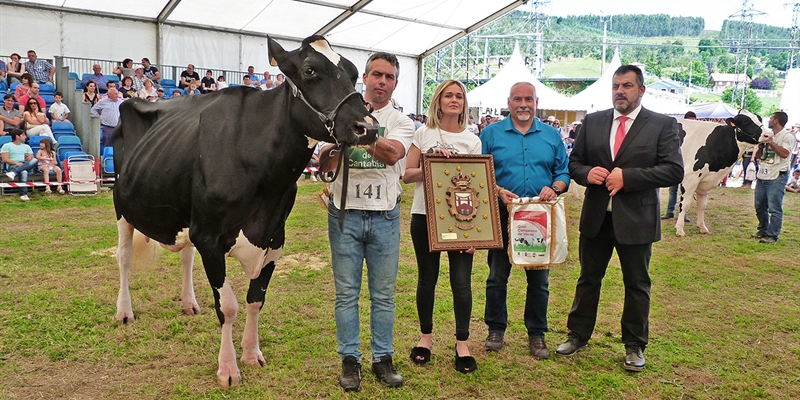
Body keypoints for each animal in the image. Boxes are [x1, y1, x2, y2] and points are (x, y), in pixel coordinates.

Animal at [111, 35, 380, 388]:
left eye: (352, 72)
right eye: (310, 70)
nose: (368, 127)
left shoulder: (274, 238)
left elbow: (256, 299)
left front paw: (252, 354)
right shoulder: (209, 236)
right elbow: (228, 306)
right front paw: (227, 369)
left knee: (185, 257)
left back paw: (189, 303)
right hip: (121, 206)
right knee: (125, 258)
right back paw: (124, 312)